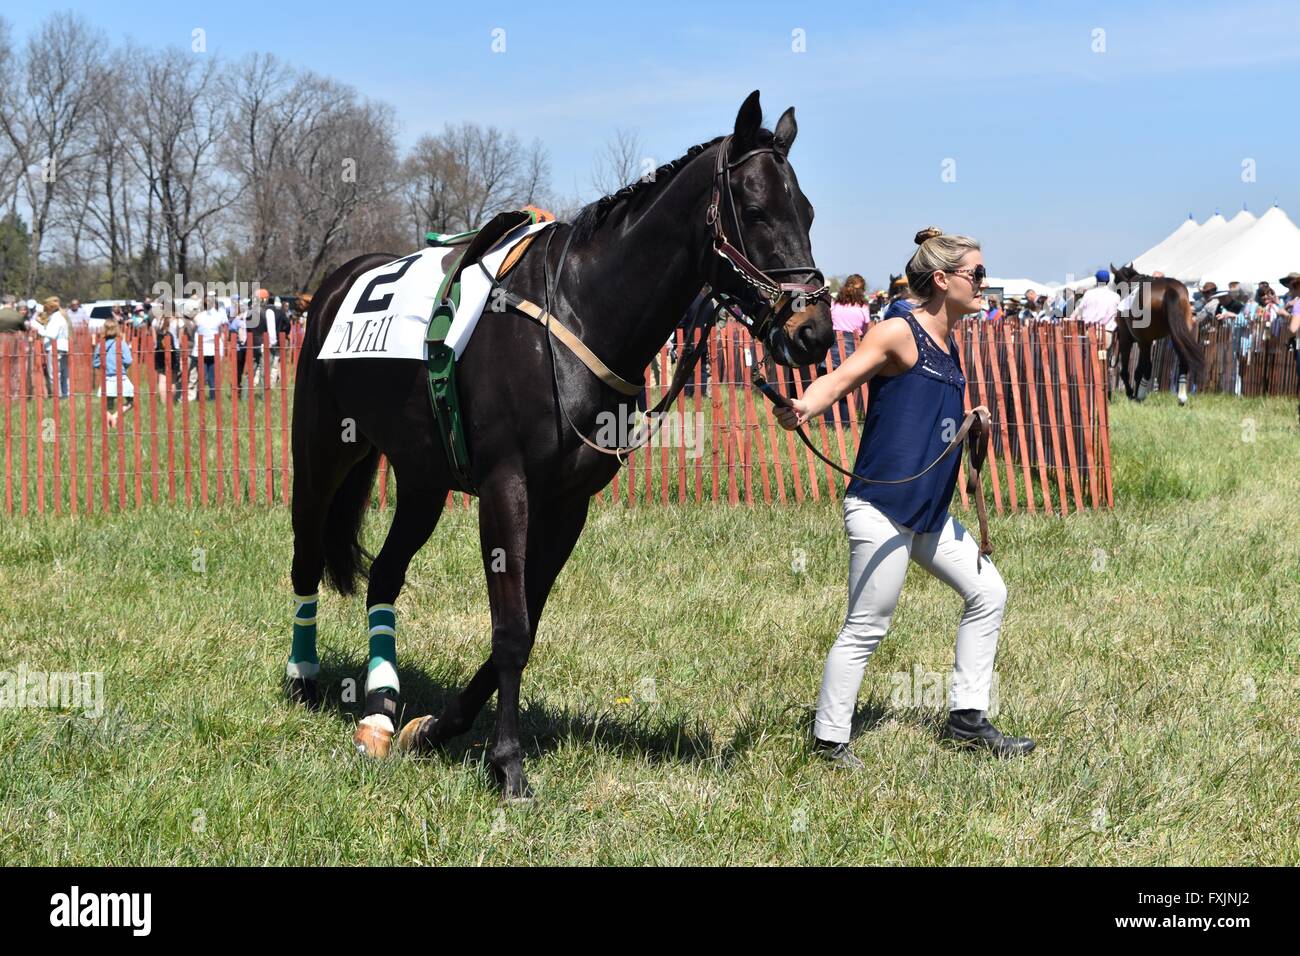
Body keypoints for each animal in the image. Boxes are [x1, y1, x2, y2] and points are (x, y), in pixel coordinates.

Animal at [285, 91, 834, 799]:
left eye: (808, 212)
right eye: (759, 211)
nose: (814, 330)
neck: (577, 313)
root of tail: (337, 281)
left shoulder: (568, 503)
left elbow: (525, 622)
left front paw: (438, 728)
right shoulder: (506, 488)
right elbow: (511, 627)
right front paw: (508, 762)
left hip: (423, 479)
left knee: (384, 573)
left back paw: (380, 711)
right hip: (321, 453)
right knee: (304, 558)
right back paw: (302, 678)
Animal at [1109, 262, 1205, 404]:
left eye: (1116, 282)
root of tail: (1170, 289)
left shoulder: (1129, 339)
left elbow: (1127, 371)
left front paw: (1131, 393)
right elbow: (1138, 370)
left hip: (1144, 341)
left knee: (1148, 368)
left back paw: (1140, 395)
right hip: (1177, 335)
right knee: (1183, 362)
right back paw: (1181, 397)